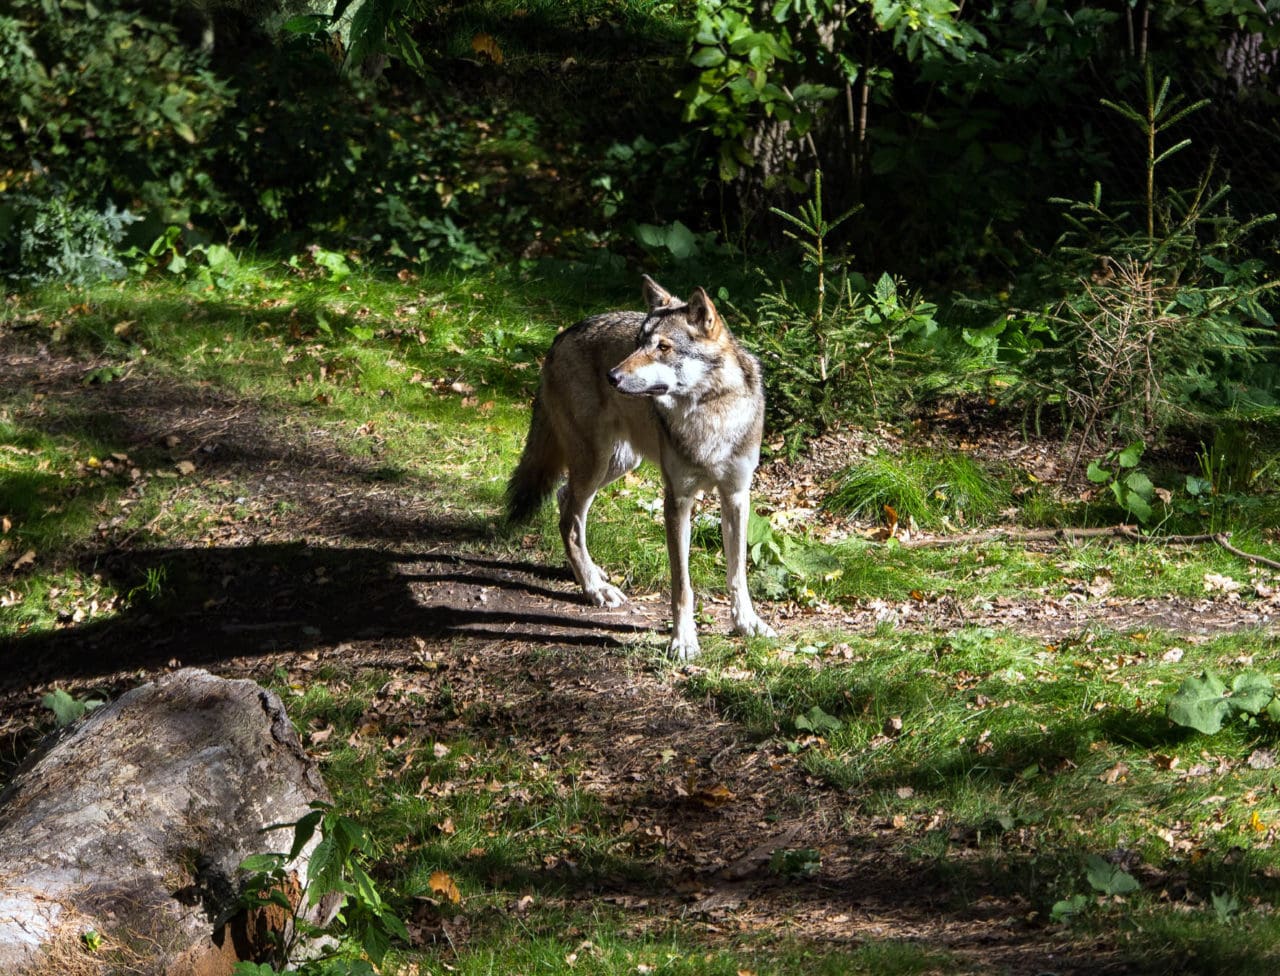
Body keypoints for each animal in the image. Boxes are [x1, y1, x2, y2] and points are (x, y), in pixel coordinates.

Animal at [504, 270, 773, 655]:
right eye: (637, 343)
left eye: (663, 347)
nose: (612, 376)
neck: (710, 413)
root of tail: (562, 335)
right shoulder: (677, 500)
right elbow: (682, 586)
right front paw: (683, 641)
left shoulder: (736, 496)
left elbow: (738, 574)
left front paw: (747, 624)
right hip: (597, 463)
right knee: (569, 519)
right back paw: (594, 588)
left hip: (616, 463)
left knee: (564, 499)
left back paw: (589, 573)